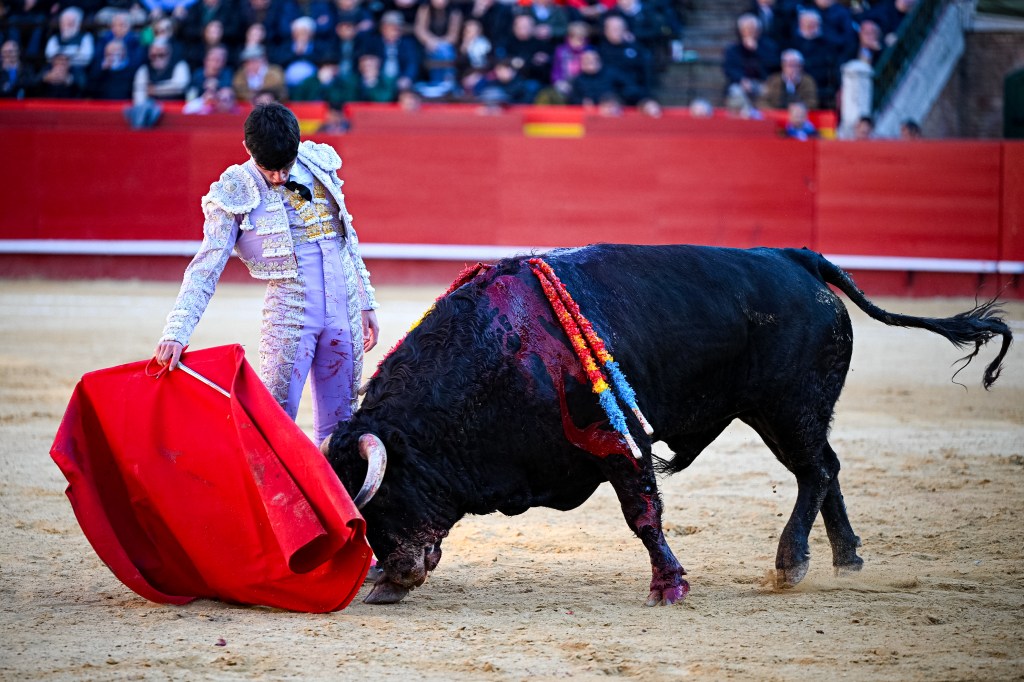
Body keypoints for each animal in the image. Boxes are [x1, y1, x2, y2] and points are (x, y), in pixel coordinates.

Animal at [324, 244, 1012, 606]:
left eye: (379, 500)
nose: (385, 581)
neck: (495, 356)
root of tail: (794, 257)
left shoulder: (615, 442)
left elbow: (643, 515)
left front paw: (669, 586)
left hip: (789, 404)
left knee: (815, 470)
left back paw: (791, 563)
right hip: (780, 412)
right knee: (826, 467)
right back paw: (846, 558)